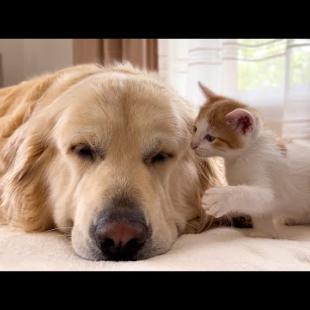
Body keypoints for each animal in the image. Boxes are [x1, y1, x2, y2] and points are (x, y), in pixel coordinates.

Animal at [191, 82, 310, 237]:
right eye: (195, 129)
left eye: (210, 138)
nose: (192, 145)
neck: (242, 157)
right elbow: (259, 213)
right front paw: (263, 232)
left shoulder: (271, 182)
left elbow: (258, 197)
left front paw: (220, 198)